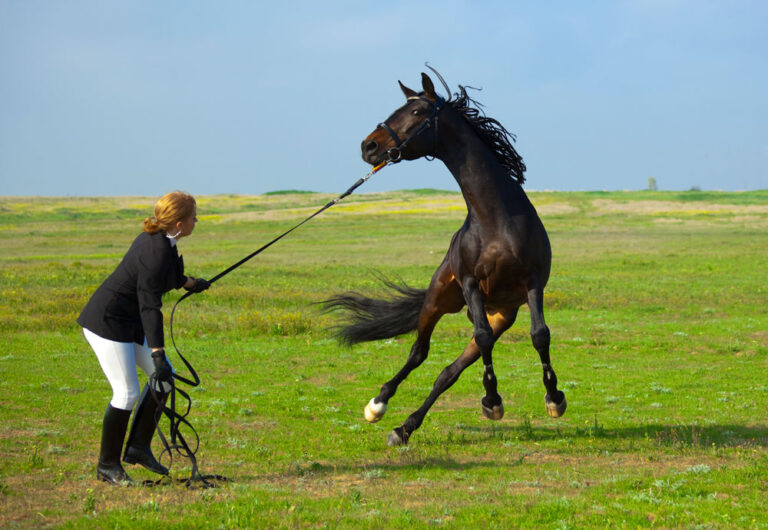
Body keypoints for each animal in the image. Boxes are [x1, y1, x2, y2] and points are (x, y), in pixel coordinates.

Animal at [323, 71, 567, 446]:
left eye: (417, 112)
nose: (369, 147)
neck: (495, 219)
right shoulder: (470, 284)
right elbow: (482, 339)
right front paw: (492, 401)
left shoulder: (533, 283)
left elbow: (539, 335)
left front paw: (553, 399)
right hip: (438, 300)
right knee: (418, 353)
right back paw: (378, 405)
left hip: (500, 315)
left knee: (448, 372)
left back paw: (404, 427)